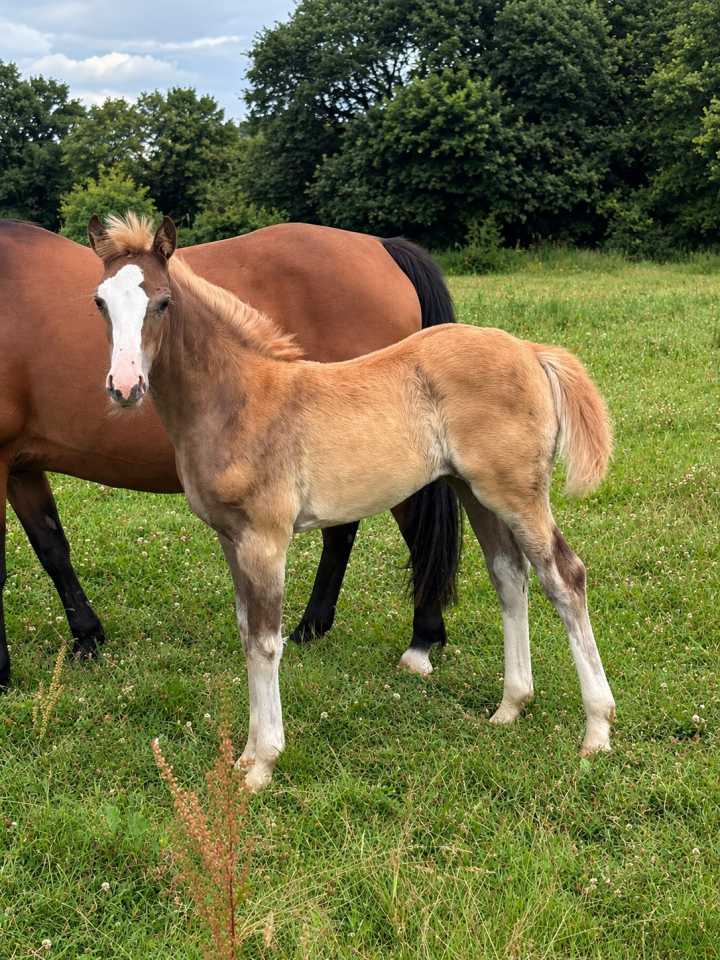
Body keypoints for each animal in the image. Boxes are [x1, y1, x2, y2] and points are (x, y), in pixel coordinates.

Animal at [0, 217, 461, 688]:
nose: (124, 385)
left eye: (163, 303)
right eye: (99, 302)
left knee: (413, 532)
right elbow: (52, 548)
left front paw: (3, 670)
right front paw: (87, 637)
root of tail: (383, 246)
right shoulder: (19, 466)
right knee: (342, 533)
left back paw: (421, 640)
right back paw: (311, 628)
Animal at [89, 214, 616, 793]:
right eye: (100, 301)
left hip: (517, 492)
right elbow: (247, 633)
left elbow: (265, 643)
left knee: (564, 576)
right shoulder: (231, 537)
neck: (240, 400)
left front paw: (264, 764)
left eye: (162, 302)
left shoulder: (265, 538)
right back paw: (511, 706)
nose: (124, 385)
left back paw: (597, 731)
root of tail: (530, 350)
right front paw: (245, 757)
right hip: (475, 491)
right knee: (509, 574)